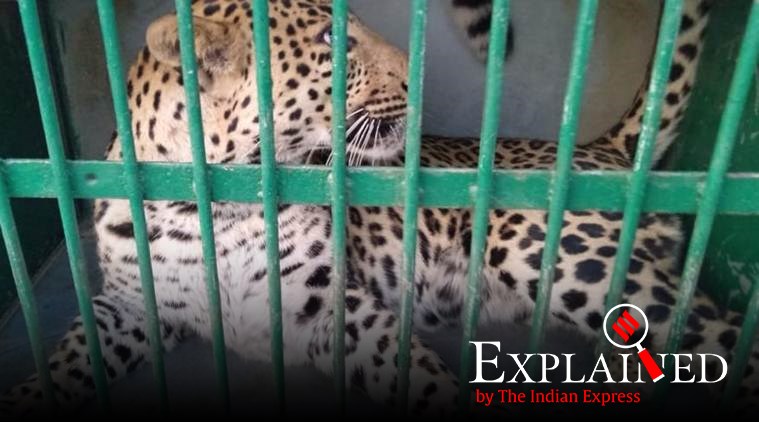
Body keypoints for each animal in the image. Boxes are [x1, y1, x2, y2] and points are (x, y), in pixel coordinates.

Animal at [0, 0, 460, 417]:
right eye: (331, 37)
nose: (418, 75)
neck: (212, 211)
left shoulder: (327, 303)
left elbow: (413, 370)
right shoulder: (128, 303)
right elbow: (70, 359)